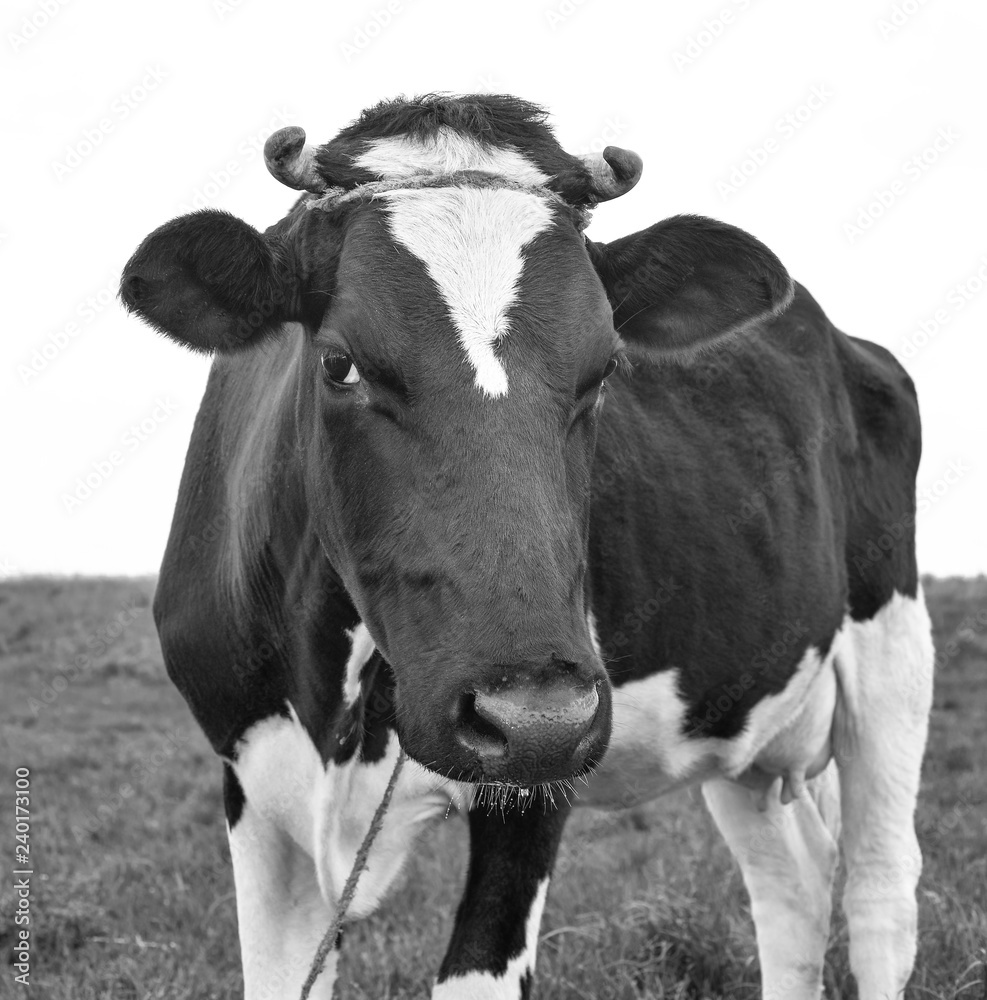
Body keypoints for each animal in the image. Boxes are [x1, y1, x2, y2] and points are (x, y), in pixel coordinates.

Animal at [121, 95, 932, 1000]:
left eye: (605, 367)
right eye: (339, 363)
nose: (536, 714)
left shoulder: (538, 783)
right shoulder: (249, 778)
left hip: (892, 648)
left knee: (878, 893)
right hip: (737, 713)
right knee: (791, 883)